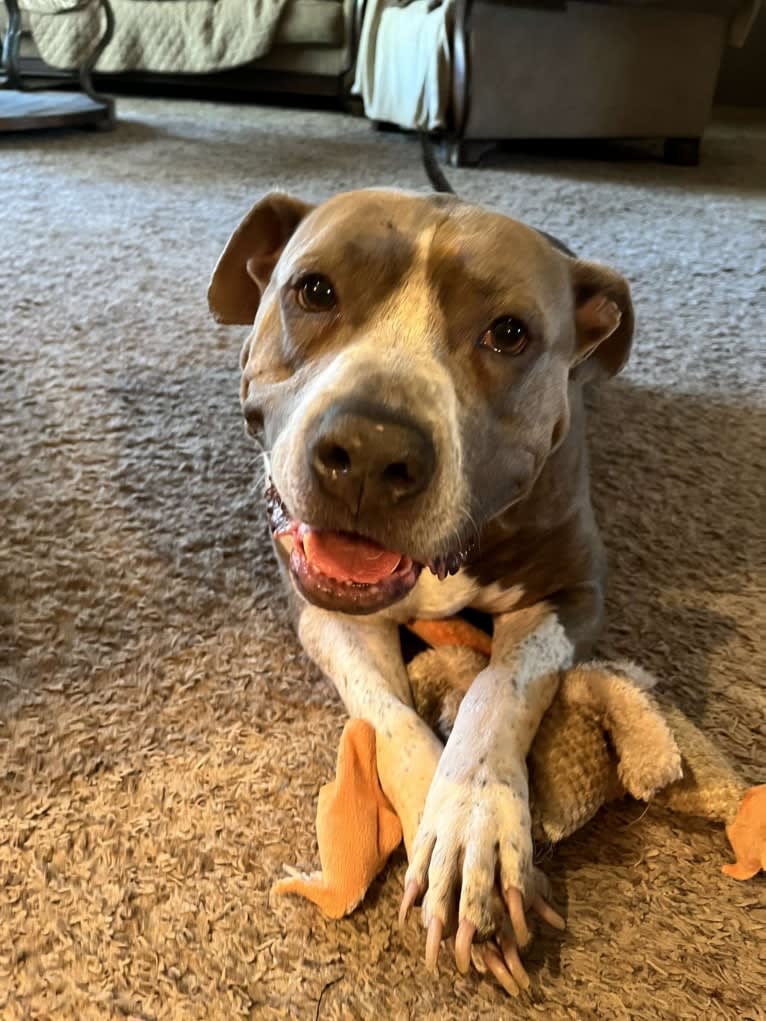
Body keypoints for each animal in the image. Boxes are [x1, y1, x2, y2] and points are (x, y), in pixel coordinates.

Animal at [207, 179, 633, 992]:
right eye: (315, 290)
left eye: (509, 334)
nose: (372, 453)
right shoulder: (325, 612)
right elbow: (391, 720)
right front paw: (446, 832)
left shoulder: (572, 593)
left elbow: (498, 686)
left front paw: (474, 829)